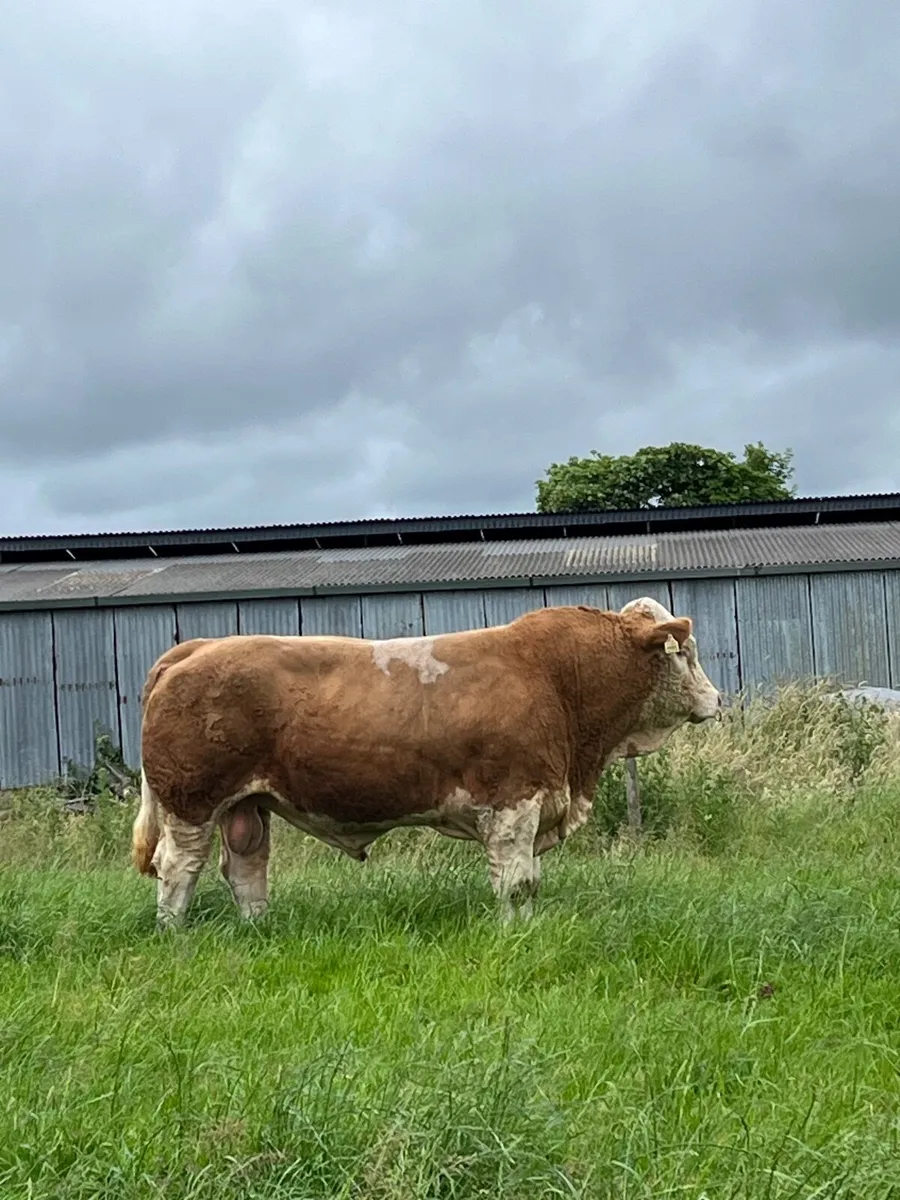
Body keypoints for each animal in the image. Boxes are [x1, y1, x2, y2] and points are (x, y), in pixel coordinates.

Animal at [131, 595, 721, 927]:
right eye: (686, 654)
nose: (716, 699)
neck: (557, 678)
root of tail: (197, 648)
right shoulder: (513, 805)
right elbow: (517, 881)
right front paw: (515, 933)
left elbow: (530, 879)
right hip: (192, 800)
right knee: (177, 868)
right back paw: (174, 935)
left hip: (247, 804)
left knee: (246, 868)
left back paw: (259, 930)